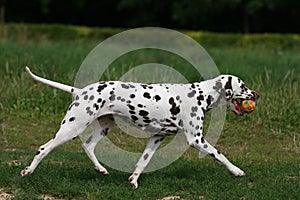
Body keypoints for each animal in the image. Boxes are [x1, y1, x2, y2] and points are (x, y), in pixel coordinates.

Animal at [22, 66, 258, 188]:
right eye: (243, 85)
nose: (256, 94)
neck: (200, 94)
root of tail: (80, 91)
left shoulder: (157, 138)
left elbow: (142, 162)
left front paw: (133, 180)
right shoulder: (197, 139)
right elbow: (220, 155)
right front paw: (236, 171)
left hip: (104, 128)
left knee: (87, 146)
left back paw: (100, 168)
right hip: (72, 128)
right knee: (44, 148)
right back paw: (28, 171)